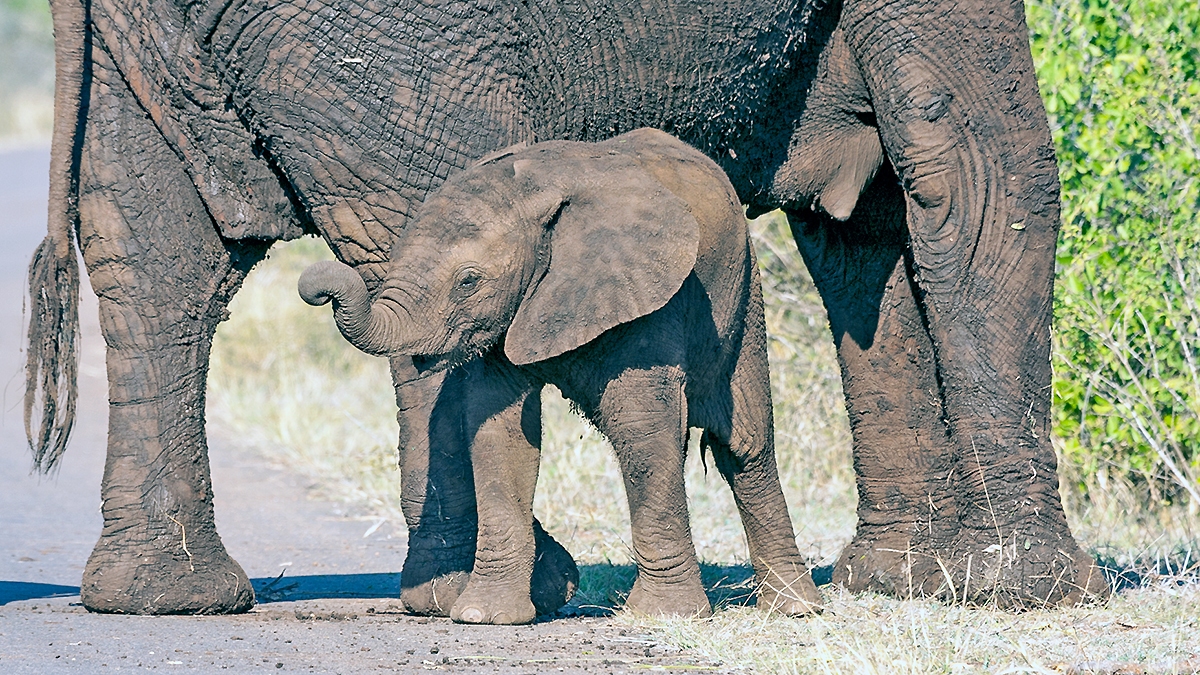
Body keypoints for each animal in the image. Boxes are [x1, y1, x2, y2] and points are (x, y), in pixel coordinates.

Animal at [298, 128, 825, 623]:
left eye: (468, 280)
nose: (315, 287)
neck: (534, 197)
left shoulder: (649, 290)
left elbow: (641, 428)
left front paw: (665, 616)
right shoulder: (510, 314)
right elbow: (499, 432)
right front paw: (485, 617)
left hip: (744, 288)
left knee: (745, 444)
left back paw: (796, 610)